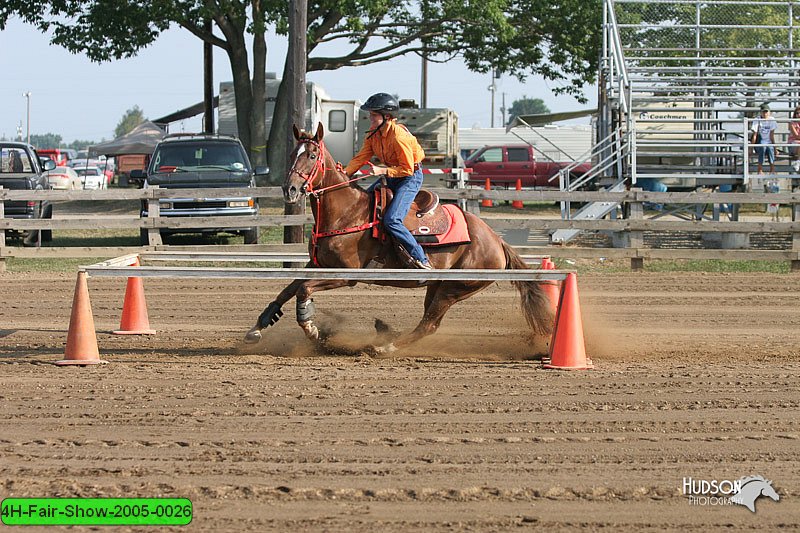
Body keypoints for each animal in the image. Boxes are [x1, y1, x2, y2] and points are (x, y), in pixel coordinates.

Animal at [244, 122, 552, 352]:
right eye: (291, 154)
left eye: (311, 156)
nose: (290, 189)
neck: (347, 213)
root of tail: (496, 241)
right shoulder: (316, 265)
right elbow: (287, 290)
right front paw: (258, 327)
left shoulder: (346, 274)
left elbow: (303, 291)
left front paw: (312, 329)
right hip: (437, 286)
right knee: (427, 321)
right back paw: (385, 336)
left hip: (455, 289)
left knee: (429, 324)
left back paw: (385, 347)